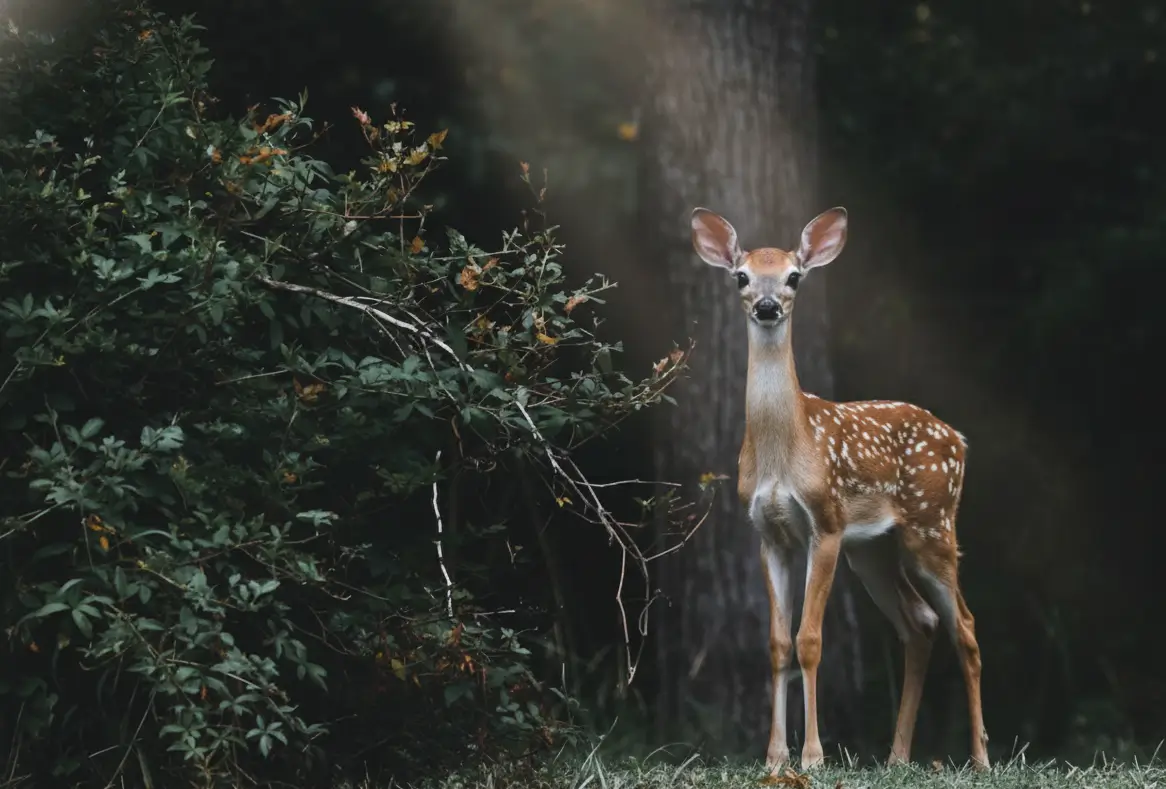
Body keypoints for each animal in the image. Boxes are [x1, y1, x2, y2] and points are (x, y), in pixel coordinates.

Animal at [690, 206, 989, 772]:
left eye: (793, 277)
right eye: (741, 276)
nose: (766, 306)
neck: (784, 452)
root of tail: (958, 439)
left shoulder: (824, 523)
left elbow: (809, 639)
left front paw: (812, 756)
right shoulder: (768, 534)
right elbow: (777, 643)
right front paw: (774, 758)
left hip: (931, 525)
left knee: (964, 624)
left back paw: (981, 757)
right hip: (873, 549)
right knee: (920, 623)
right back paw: (897, 757)